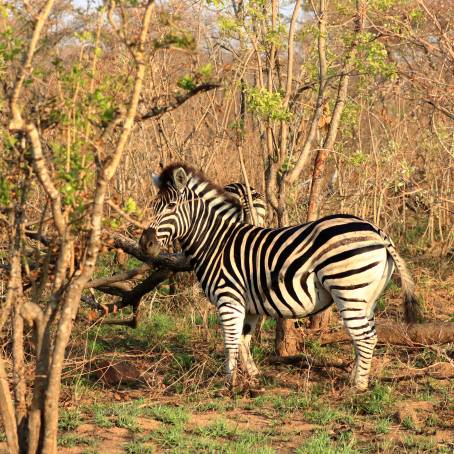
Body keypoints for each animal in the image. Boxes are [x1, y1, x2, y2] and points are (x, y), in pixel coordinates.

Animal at [141, 162, 422, 390]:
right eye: (153, 206)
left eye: (172, 206)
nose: (146, 244)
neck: (216, 243)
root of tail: (377, 231)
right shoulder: (249, 304)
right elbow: (243, 340)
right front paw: (253, 376)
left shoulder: (228, 297)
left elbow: (230, 342)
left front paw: (230, 384)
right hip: (367, 296)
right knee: (368, 336)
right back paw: (353, 379)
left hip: (348, 290)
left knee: (365, 337)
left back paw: (357, 387)